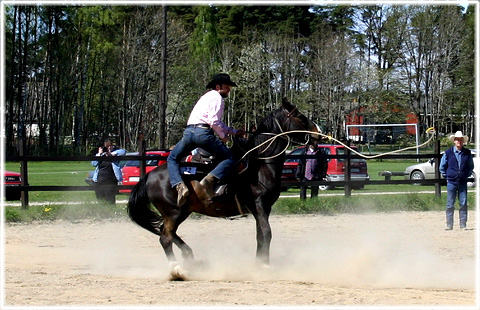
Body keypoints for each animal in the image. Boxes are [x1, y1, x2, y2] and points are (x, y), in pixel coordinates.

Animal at [127, 98, 318, 278]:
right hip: (173, 212)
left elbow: (260, 235)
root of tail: (149, 176)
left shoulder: (262, 209)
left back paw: (189, 256)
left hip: (181, 212)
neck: (259, 164)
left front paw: (259, 264)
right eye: (300, 116)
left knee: (166, 233)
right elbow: (267, 233)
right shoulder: (259, 204)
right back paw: (177, 269)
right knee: (165, 238)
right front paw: (264, 266)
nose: (317, 132)